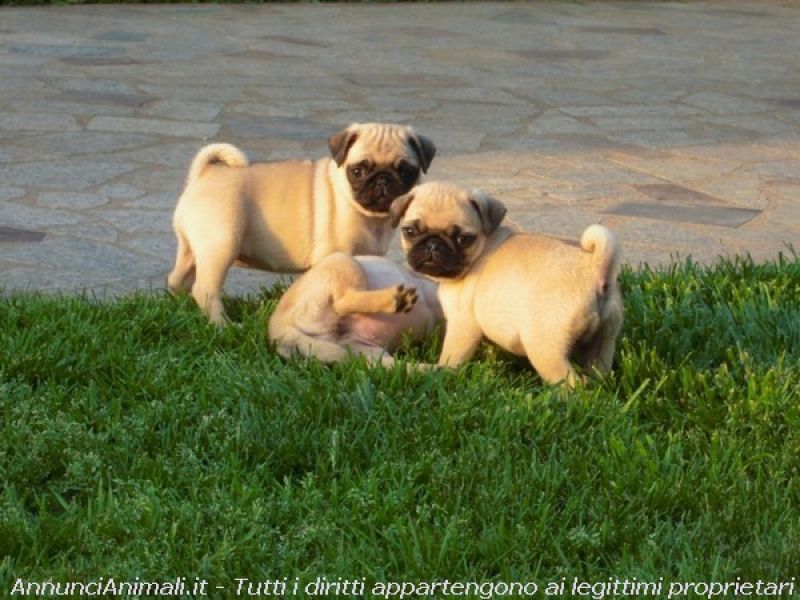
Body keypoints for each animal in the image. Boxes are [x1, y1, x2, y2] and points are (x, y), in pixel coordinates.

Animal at [165, 122, 434, 326]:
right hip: (222, 244)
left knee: (177, 279)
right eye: (358, 171)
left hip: (191, 248)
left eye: (407, 172)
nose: (382, 181)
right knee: (205, 289)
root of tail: (204, 175)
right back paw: (223, 325)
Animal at [394, 183, 624, 386]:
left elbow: (452, 356)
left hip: (545, 348)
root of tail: (595, 269)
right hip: (605, 340)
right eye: (410, 232)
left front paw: (441, 371)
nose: (433, 244)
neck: (481, 247)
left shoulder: (462, 324)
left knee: (571, 383)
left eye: (463, 239)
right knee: (599, 369)